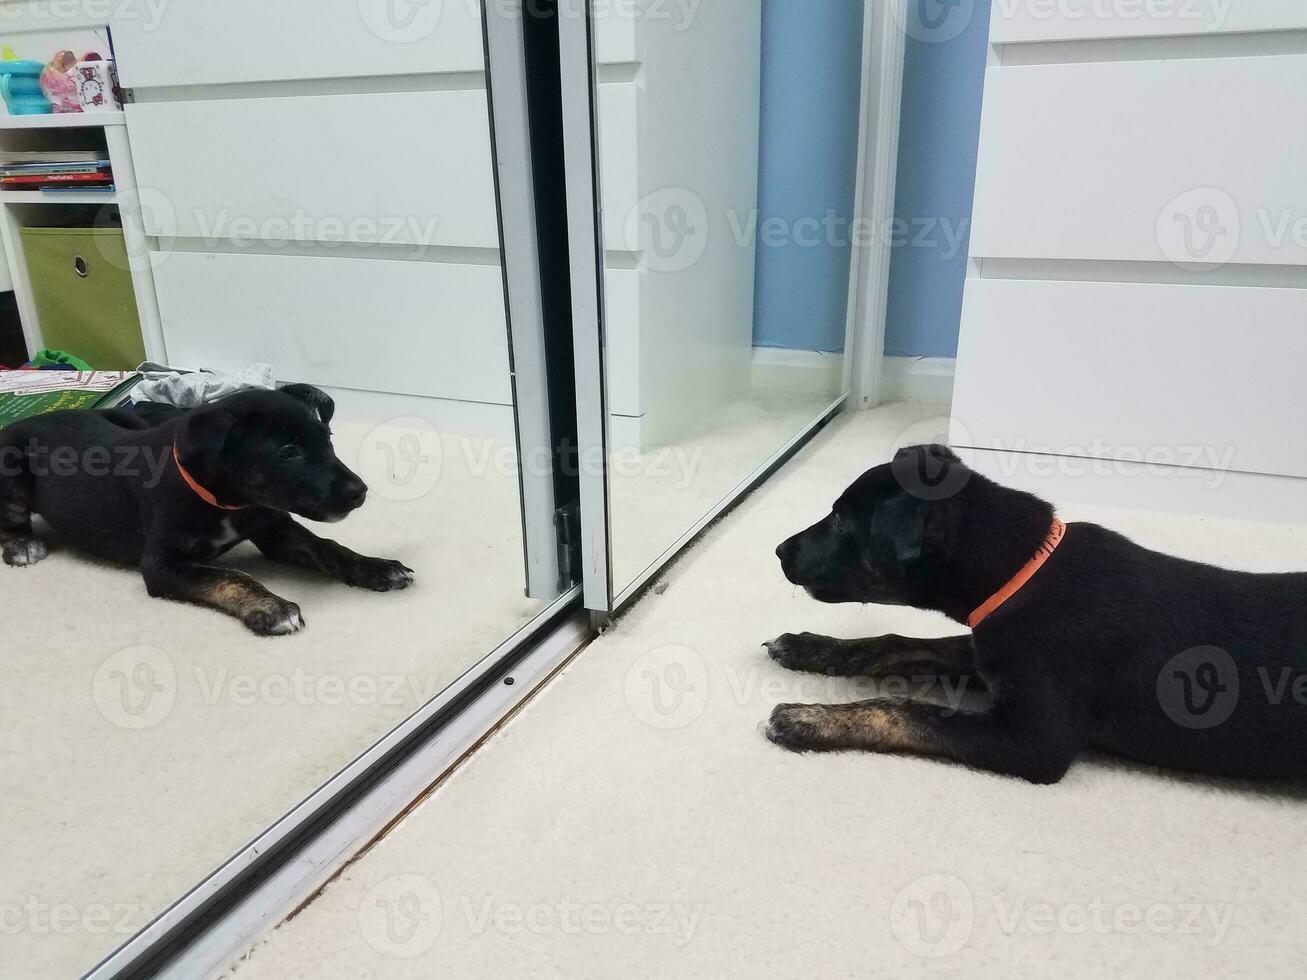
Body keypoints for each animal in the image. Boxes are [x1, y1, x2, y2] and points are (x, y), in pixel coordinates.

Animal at [0, 386, 413, 640]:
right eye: (287, 453)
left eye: (327, 438)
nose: (358, 493)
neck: (227, 501)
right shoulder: (162, 564)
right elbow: (231, 576)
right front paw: (271, 606)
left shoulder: (274, 527)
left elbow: (328, 547)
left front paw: (377, 567)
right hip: (12, 469)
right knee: (11, 520)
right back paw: (21, 545)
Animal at [768, 449, 1307, 789]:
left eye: (842, 522)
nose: (778, 550)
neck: (1023, 567)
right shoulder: (986, 646)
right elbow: (893, 641)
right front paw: (809, 646)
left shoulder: (1034, 739)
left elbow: (905, 710)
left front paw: (810, 718)